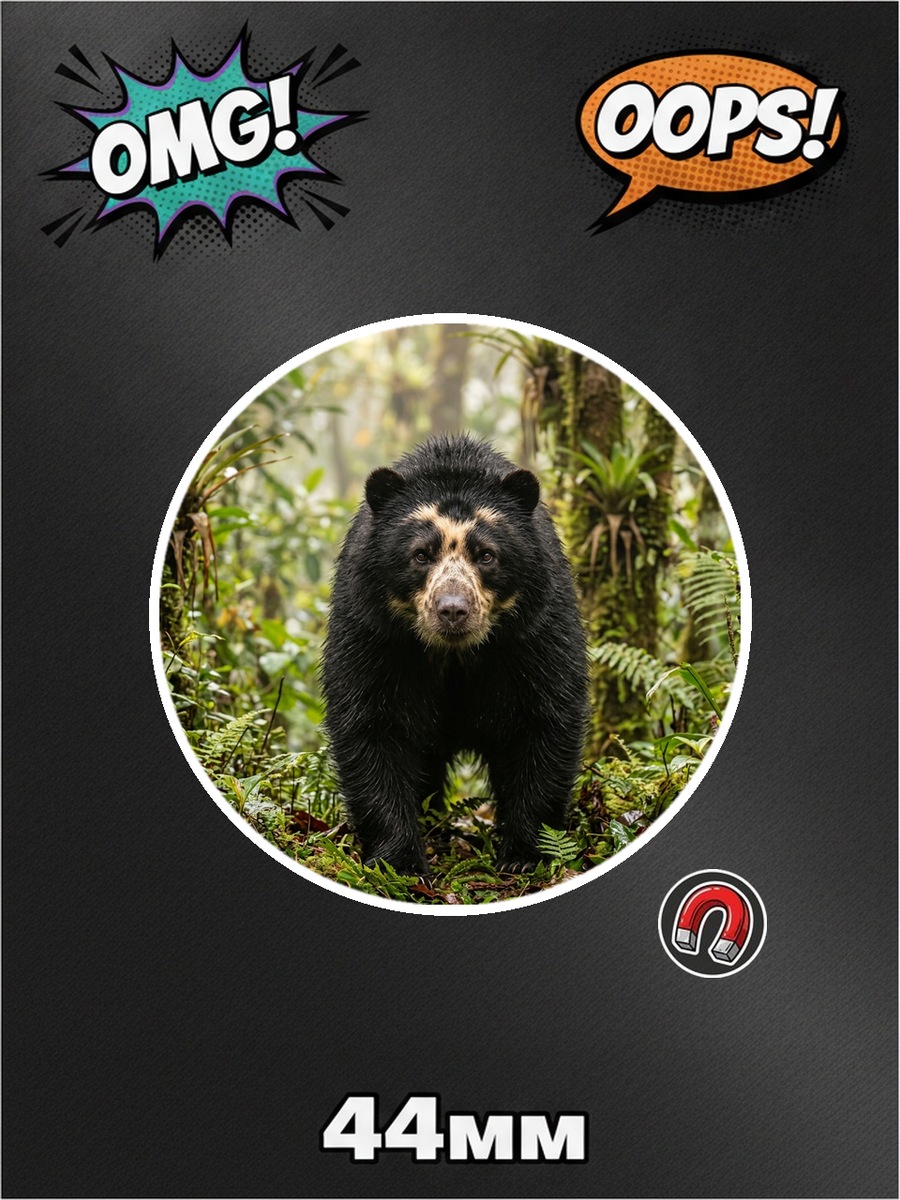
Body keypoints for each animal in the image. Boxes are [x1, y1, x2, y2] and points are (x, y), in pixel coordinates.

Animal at [321, 433, 588, 877]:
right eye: (420, 555)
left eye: (486, 555)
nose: (452, 610)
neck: (454, 653)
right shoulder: (373, 632)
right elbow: (371, 724)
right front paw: (401, 863)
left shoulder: (535, 631)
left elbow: (543, 720)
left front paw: (524, 856)